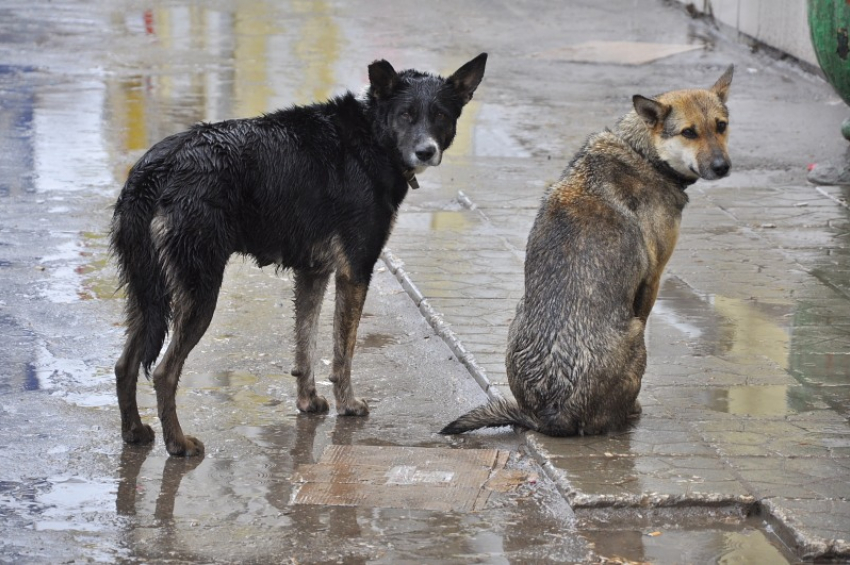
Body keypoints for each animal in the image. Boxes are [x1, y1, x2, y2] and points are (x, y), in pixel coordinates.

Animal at [109, 53, 486, 456]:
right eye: (406, 115)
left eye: (441, 116)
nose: (426, 151)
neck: (370, 136)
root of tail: (156, 168)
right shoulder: (355, 270)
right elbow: (343, 351)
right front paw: (347, 404)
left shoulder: (313, 271)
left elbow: (307, 342)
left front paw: (308, 401)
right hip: (199, 290)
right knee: (165, 371)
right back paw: (178, 443)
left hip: (147, 292)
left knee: (124, 364)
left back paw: (134, 431)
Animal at [444, 67, 728, 436]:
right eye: (689, 132)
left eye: (721, 125)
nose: (723, 166)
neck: (641, 153)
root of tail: (549, 413)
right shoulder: (652, 279)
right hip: (635, 335)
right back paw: (630, 412)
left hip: (519, 311)